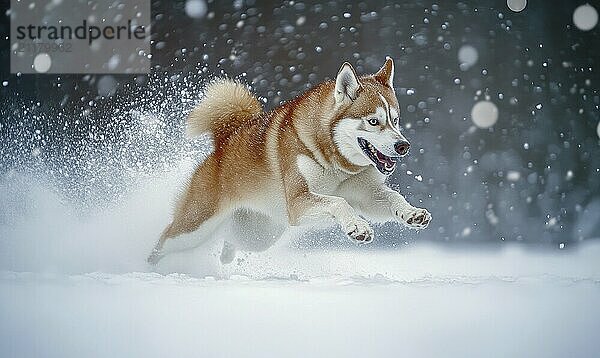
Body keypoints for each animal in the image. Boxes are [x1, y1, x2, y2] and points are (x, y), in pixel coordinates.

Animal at [149, 58, 432, 266]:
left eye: (395, 120)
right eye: (373, 121)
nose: (403, 146)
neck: (336, 165)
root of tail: (224, 141)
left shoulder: (365, 193)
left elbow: (392, 198)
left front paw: (412, 213)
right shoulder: (298, 203)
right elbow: (338, 202)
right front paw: (357, 226)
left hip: (260, 234)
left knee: (232, 239)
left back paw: (226, 255)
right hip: (195, 227)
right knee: (164, 239)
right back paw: (149, 265)